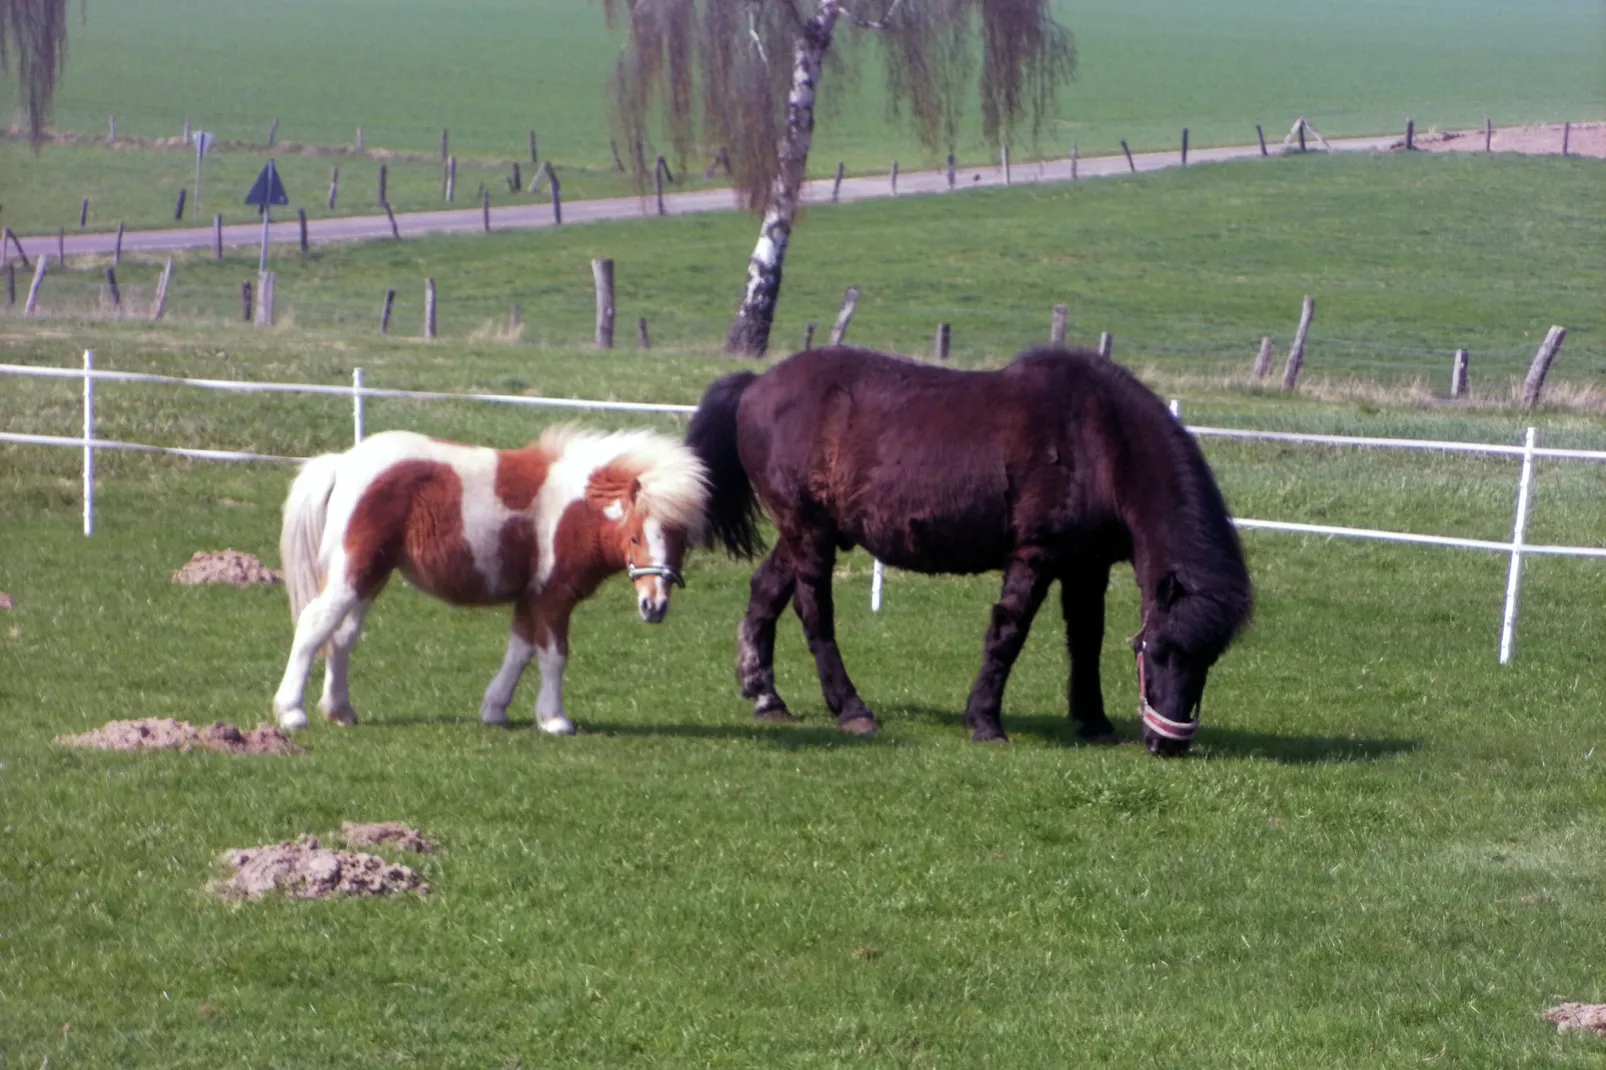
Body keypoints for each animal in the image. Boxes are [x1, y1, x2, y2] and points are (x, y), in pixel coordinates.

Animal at [273, 424, 706, 732]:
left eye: (682, 542)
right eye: (634, 537)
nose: (654, 606)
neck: (576, 509)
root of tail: (342, 462)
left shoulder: (530, 597)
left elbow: (520, 651)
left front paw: (495, 709)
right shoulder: (554, 596)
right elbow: (554, 655)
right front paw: (555, 719)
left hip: (371, 577)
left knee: (342, 636)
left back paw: (340, 710)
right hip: (354, 573)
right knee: (314, 624)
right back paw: (292, 712)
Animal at [684, 345, 1246, 755]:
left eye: (1208, 660)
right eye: (1162, 650)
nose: (1167, 744)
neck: (1098, 439)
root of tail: (756, 385)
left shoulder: (1086, 567)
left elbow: (1086, 639)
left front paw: (1094, 721)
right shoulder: (1034, 557)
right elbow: (1007, 634)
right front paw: (984, 721)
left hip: (802, 533)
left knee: (766, 592)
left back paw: (766, 696)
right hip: (810, 533)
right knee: (814, 613)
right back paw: (851, 709)